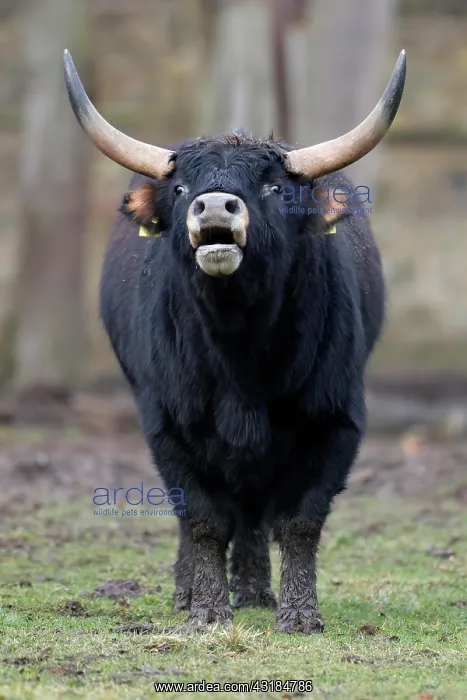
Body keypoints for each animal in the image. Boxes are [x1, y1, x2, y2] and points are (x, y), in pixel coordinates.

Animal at [64, 49, 406, 633]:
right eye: (181, 189)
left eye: (272, 187)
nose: (216, 207)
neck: (240, 355)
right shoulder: (167, 425)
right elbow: (202, 519)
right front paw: (206, 610)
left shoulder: (336, 422)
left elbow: (298, 520)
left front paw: (299, 614)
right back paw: (194, 592)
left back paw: (254, 590)